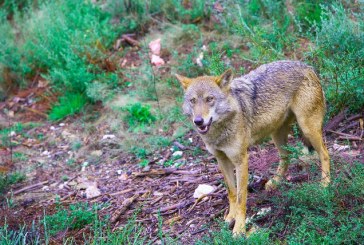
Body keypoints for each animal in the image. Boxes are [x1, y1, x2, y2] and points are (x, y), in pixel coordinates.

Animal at [175, 60, 332, 235]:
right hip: (277, 135)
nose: (198, 121)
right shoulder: (222, 160)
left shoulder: (241, 160)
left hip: (307, 129)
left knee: (325, 154)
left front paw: (239, 229)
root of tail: (307, 66)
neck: (220, 132)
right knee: (286, 157)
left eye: (210, 99)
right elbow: (231, 192)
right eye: (193, 101)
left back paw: (325, 184)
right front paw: (230, 216)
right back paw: (275, 182)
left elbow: (241, 197)